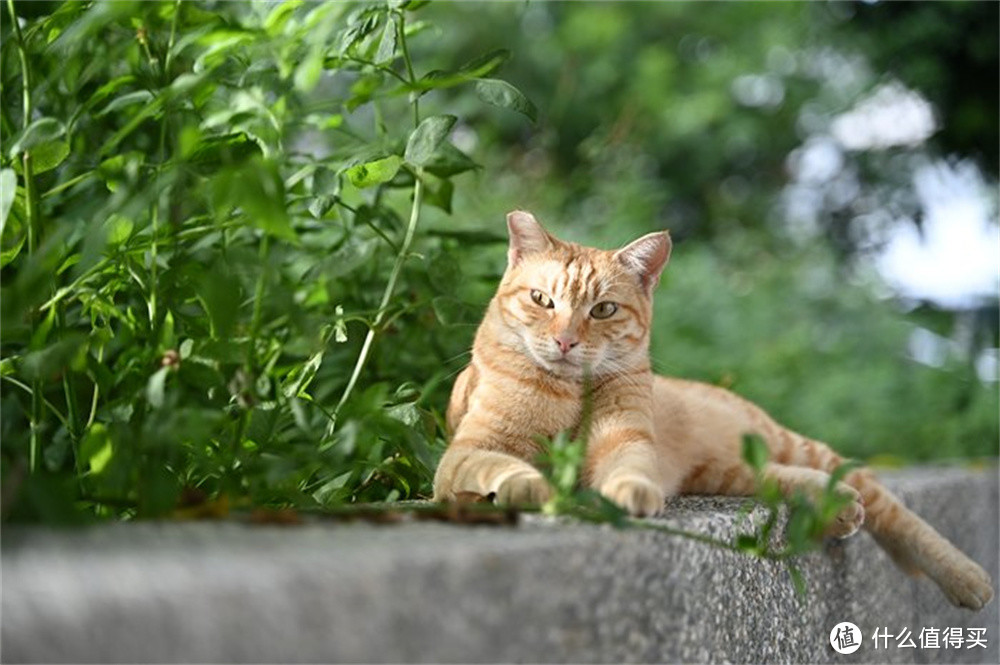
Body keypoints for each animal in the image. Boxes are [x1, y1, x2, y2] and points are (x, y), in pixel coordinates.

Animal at [434, 210, 996, 608]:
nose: (566, 341)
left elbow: (629, 468)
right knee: (790, 482)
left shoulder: (625, 439)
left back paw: (965, 577)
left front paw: (631, 493)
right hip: (729, 473)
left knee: (890, 508)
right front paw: (526, 483)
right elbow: (499, 463)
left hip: (795, 449)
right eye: (541, 300)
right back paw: (837, 510)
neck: (570, 395)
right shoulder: (465, 454)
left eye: (604, 309)